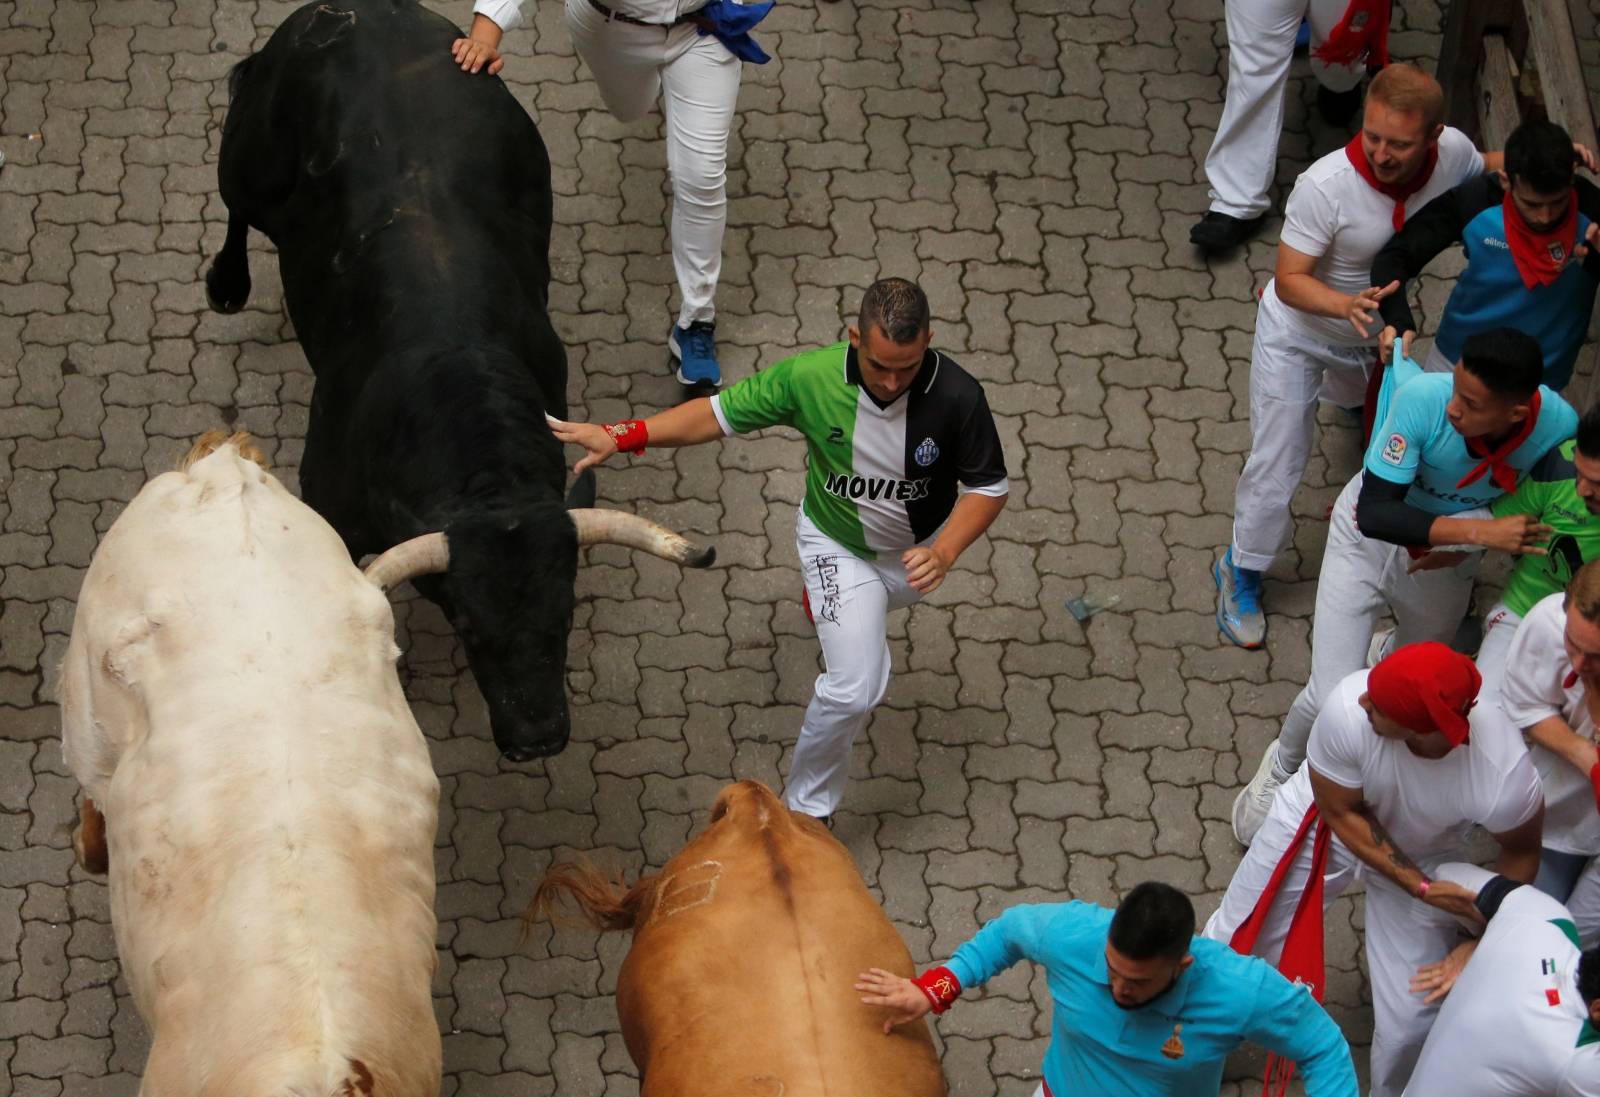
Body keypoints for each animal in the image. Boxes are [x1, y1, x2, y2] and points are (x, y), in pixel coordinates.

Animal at [208, 0, 713, 764]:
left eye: (564, 615)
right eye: (469, 624)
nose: (538, 737)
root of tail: (354, 11)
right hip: (251, 160)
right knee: (236, 198)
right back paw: (226, 284)